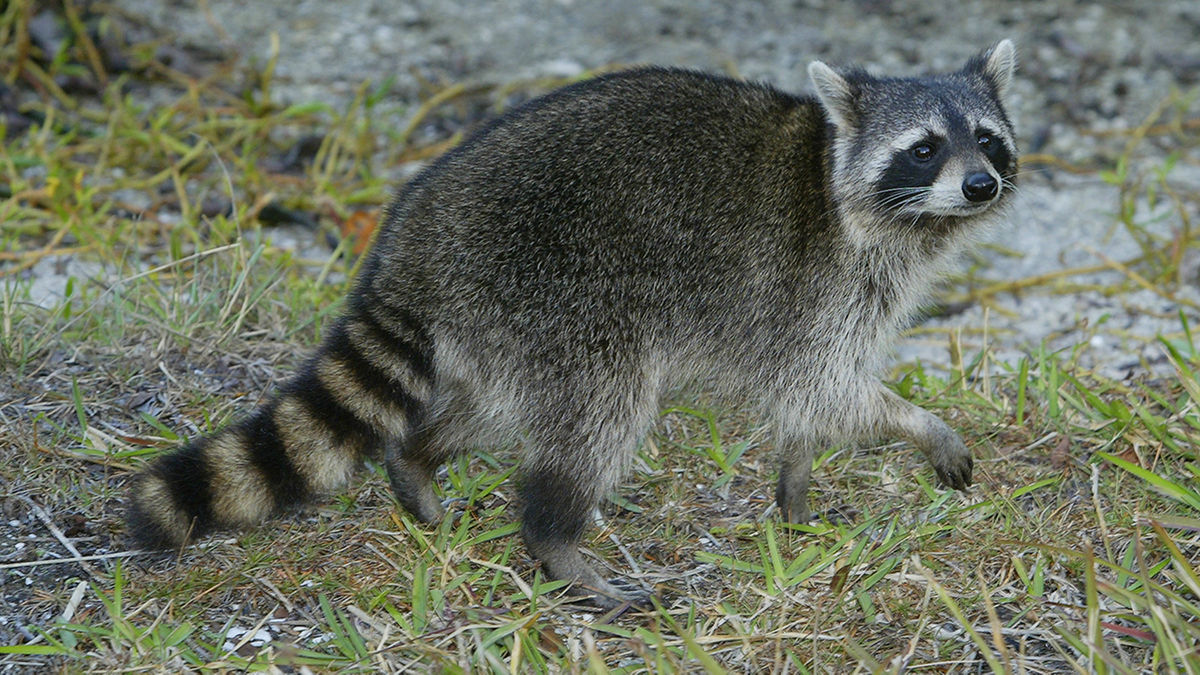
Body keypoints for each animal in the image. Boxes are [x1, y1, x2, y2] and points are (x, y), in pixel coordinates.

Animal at [128, 41, 1018, 608]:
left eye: (988, 140)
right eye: (924, 147)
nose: (981, 185)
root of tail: (411, 241)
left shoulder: (836, 295)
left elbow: (807, 401)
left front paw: (794, 490)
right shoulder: (819, 275)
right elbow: (829, 387)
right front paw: (921, 424)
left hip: (503, 324)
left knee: (485, 408)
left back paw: (418, 462)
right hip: (565, 298)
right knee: (598, 416)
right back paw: (557, 539)